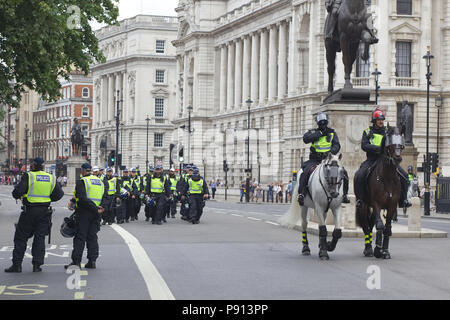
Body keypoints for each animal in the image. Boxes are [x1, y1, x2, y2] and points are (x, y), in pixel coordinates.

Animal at [356, 126, 406, 258]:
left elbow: (387, 228)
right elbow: (379, 226)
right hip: (363, 205)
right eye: (390, 142)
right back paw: (368, 249)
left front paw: (385, 251)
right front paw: (378, 249)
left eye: (401, 143)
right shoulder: (376, 203)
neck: (388, 177)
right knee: (366, 226)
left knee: (371, 224)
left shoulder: (392, 205)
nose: (397, 158)